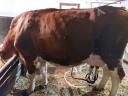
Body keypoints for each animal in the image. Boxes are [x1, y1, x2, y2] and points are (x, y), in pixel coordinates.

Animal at [0, 5, 128, 95]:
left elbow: (31, 75)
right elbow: (43, 70)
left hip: (111, 55)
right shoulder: (42, 55)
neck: (18, 27)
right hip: (105, 57)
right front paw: (44, 83)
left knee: (119, 76)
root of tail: (121, 10)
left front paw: (29, 90)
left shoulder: (28, 56)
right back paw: (99, 86)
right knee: (107, 71)